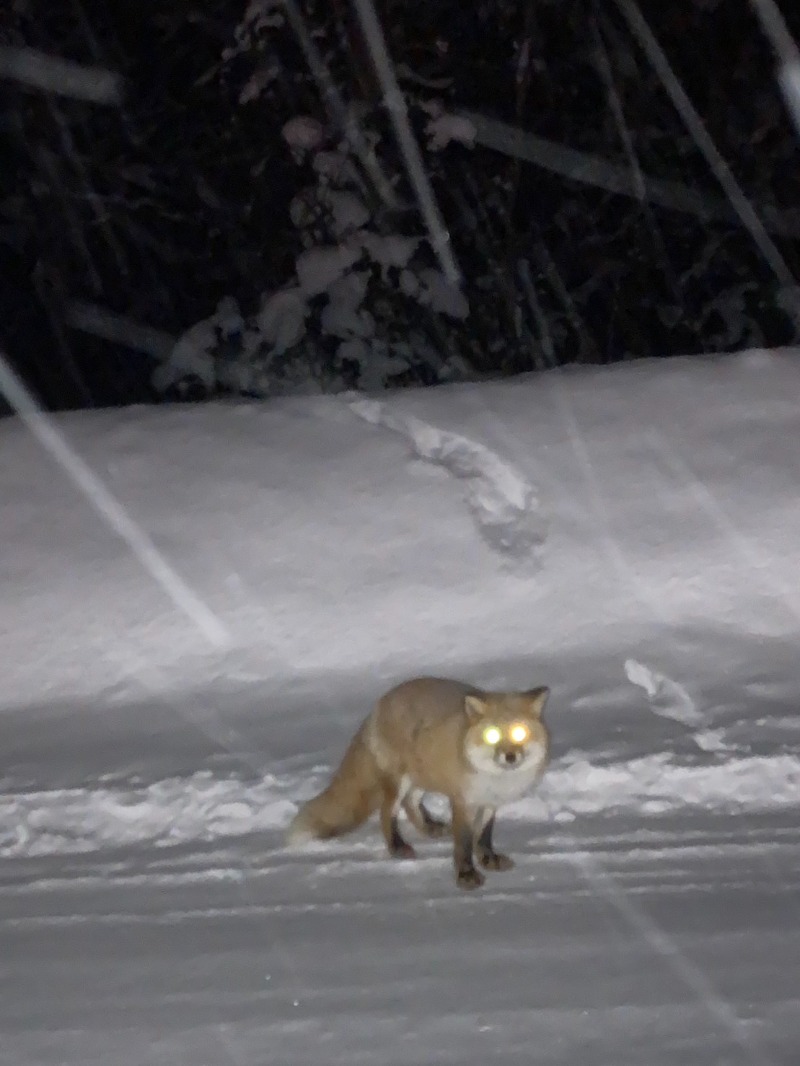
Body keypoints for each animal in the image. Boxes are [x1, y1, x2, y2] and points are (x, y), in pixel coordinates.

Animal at [283, 673, 550, 891]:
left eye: (519, 733)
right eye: (492, 735)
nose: (510, 756)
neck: (496, 779)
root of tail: (381, 702)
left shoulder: (490, 802)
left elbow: (483, 836)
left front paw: (488, 859)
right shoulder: (462, 801)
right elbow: (464, 843)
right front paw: (466, 875)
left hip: (421, 777)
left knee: (410, 804)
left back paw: (430, 828)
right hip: (399, 781)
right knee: (387, 812)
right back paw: (398, 847)